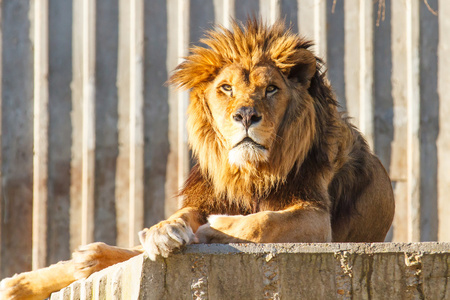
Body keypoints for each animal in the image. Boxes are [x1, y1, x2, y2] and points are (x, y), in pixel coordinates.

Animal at [0, 19, 394, 298]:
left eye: (271, 89)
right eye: (226, 88)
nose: (246, 115)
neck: (249, 172)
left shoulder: (317, 218)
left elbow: (263, 222)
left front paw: (211, 230)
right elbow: (185, 215)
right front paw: (166, 229)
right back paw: (30, 279)